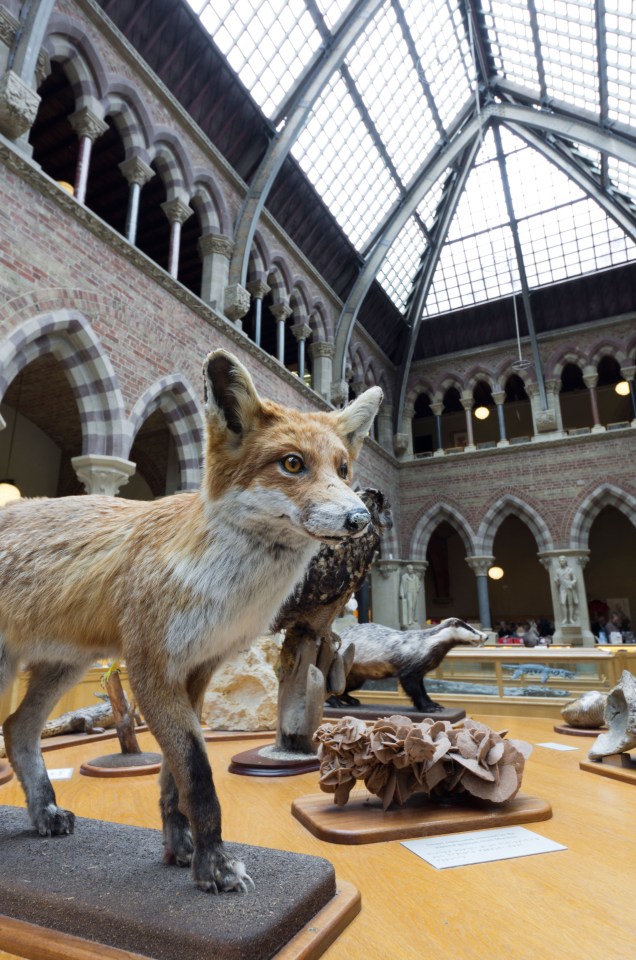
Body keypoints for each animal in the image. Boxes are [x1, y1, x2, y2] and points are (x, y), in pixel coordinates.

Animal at [0, 348, 380, 896]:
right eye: (292, 463)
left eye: (343, 468)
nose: (360, 520)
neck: (222, 590)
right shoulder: (149, 668)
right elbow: (198, 776)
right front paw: (215, 865)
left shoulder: (198, 670)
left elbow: (173, 779)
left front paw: (182, 850)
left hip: (64, 668)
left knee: (17, 729)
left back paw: (44, 811)